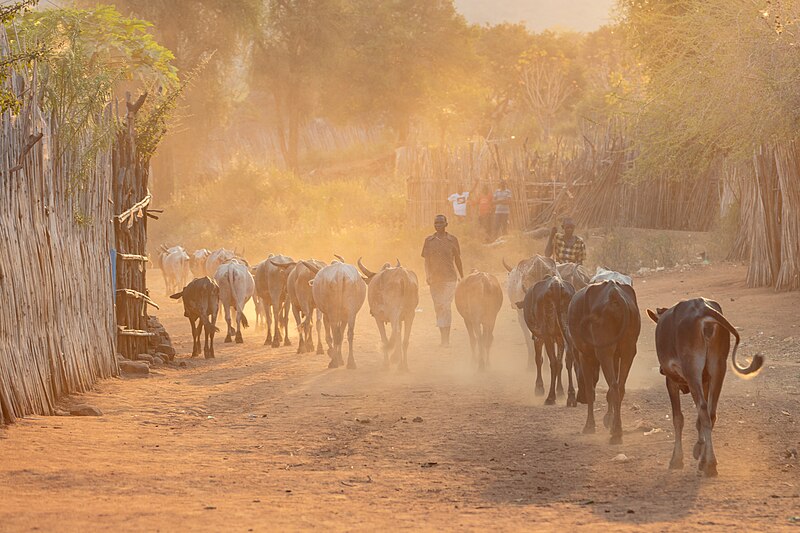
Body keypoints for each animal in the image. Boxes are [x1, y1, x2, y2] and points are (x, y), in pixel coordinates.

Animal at [516, 276, 580, 406]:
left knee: (553, 363)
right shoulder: (560, 338)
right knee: (568, 360)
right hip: (567, 332)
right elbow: (561, 363)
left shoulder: (539, 337)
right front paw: (560, 390)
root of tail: (556, 285)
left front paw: (539, 387)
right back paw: (571, 396)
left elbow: (539, 359)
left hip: (547, 336)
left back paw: (550, 397)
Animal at [564, 280, 640, 442]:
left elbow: (591, 391)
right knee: (619, 387)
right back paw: (616, 427)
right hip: (629, 350)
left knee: (614, 386)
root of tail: (614, 293)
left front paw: (589, 425)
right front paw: (608, 418)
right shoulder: (616, 357)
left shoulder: (584, 356)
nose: (580, 399)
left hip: (604, 352)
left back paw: (616, 433)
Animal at [644, 298, 764, 476]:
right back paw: (706, 460)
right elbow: (698, 419)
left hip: (692, 369)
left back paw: (710, 464)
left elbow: (678, 419)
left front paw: (677, 459)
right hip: (718, 367)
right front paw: (699, 450)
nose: (660, 370)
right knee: (710, 413)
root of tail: (701, 308)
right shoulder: (706, 380)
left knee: (703, 411)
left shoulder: (671, 381)